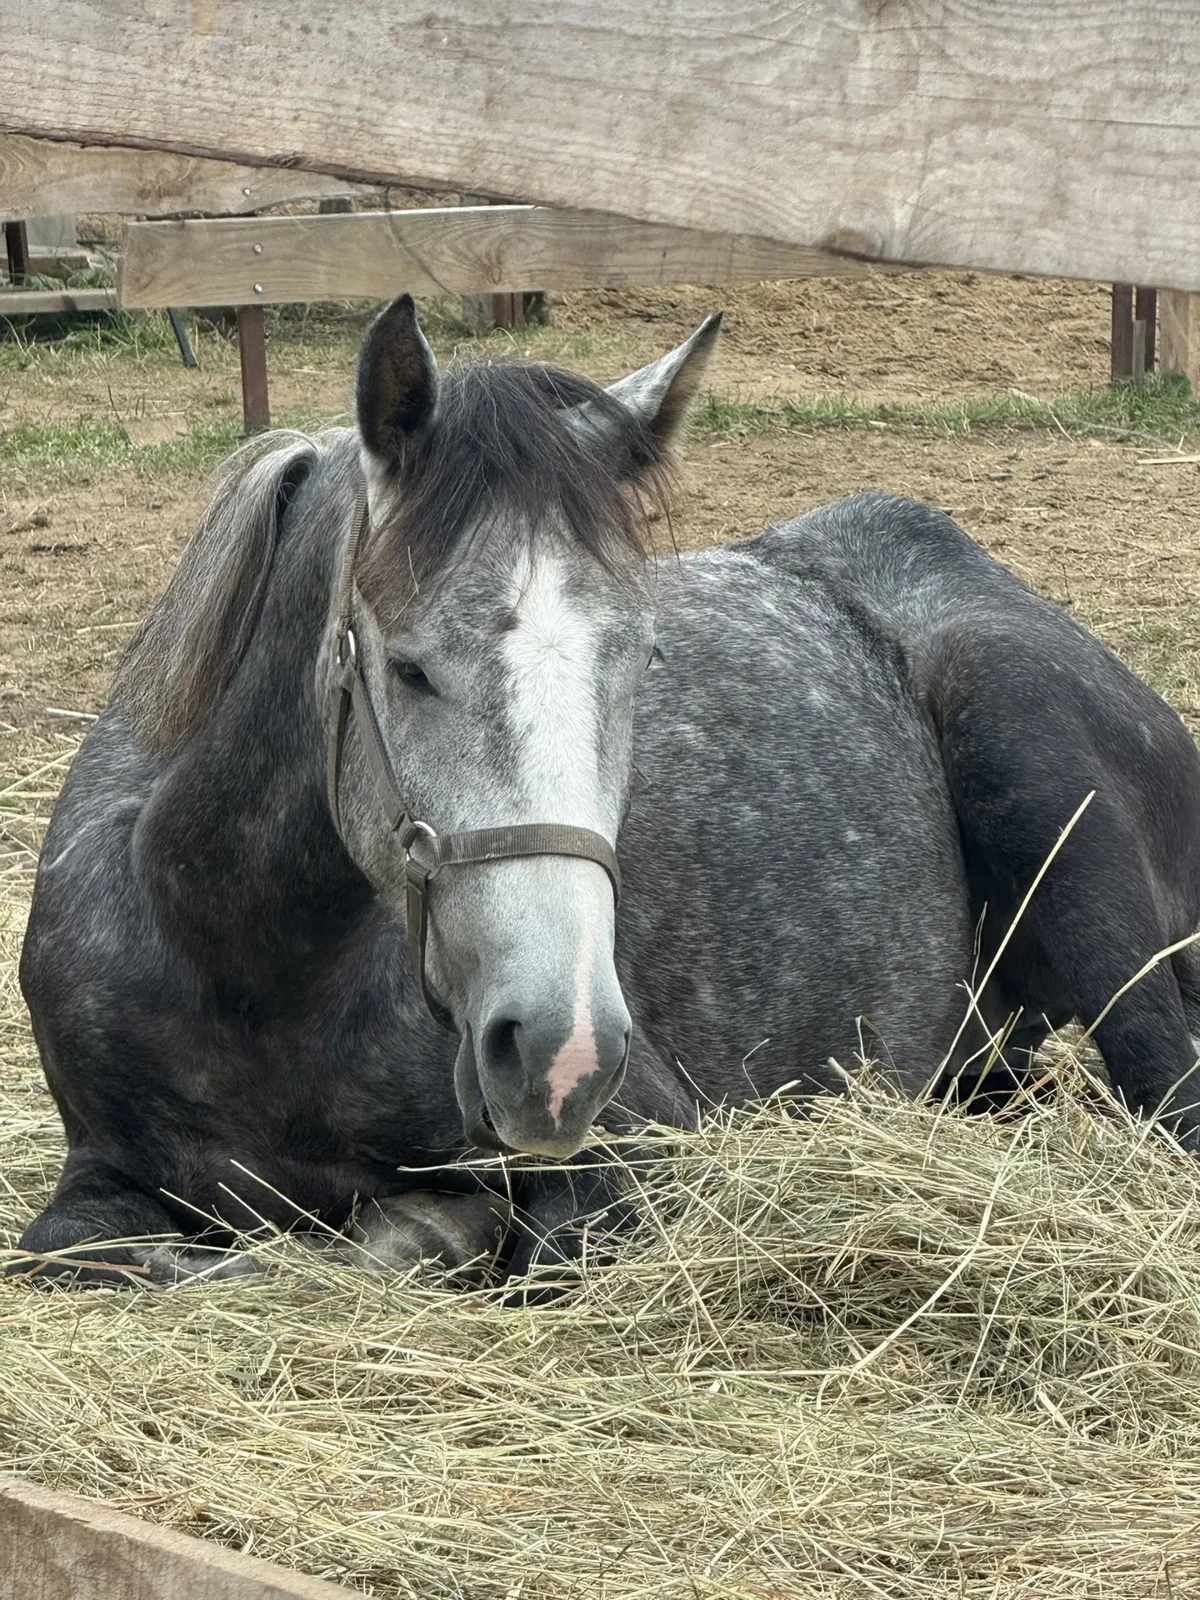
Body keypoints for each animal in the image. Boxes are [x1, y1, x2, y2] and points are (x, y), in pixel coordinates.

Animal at [13, 296, 1200, 1287]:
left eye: (642, 658)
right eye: (407, 667)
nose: (562, 1052)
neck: (244, 969)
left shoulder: (644, 1154)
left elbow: (464, 1239)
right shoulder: (96, 1179)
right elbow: (85, 1254)